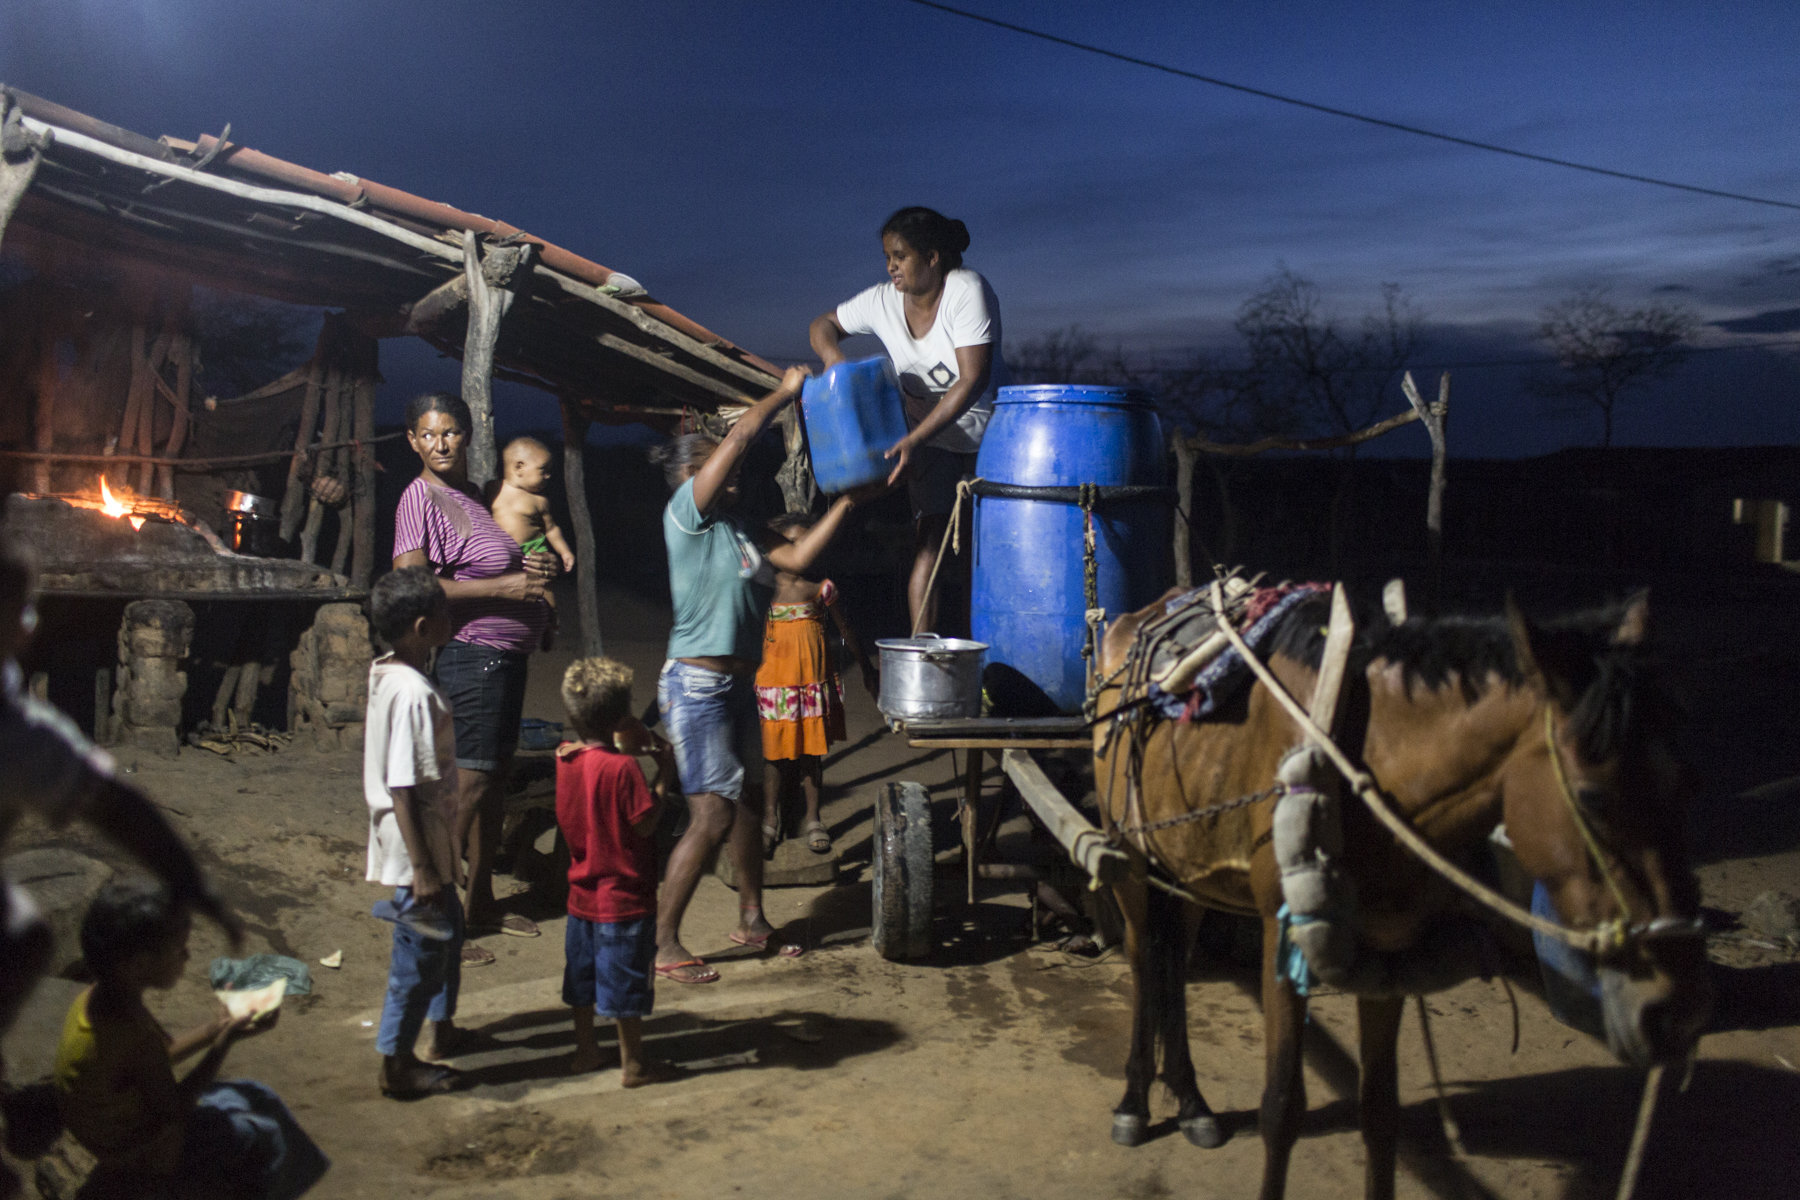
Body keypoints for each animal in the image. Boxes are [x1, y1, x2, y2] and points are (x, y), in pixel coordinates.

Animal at [1087, 590, 1706, 1200]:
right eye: (1592, 796)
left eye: (1687, 784)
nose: (1676, 1013)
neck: (1370, 762)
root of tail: (1140, 616)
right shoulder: (1280, 939)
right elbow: (1281, 1110)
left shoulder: (1387, 953)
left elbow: (1381, 1113)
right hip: (1130, 861)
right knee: (1145, 964)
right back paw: (1134, 1103)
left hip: (1188, 871)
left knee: (1174, 965)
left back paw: (1191, 1102)